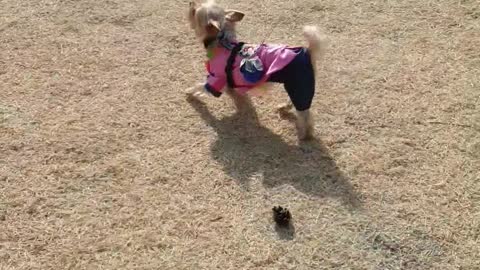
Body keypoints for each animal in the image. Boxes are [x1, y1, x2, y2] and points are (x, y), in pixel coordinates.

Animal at [186, 1, 324, 141]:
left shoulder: (216, 79)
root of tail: (308, 51)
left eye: (194, 12)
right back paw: (284, 108)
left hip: (299, 86)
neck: (223, 42)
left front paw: (190, 92)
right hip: (297, 86)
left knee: (305, 115)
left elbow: (200, 87)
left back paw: (305, 134)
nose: (192, 3)